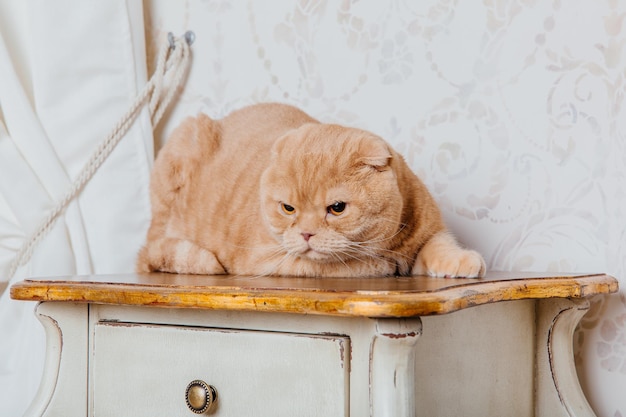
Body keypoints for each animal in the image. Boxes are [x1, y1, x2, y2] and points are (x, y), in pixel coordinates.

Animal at [136, 103, 486, 278]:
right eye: (288, 208)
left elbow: (441, 245)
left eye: (337, 208)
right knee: (151, 252)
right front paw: (385, 265)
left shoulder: (430, 230)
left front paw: (461, 261)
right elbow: (351, 265)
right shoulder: (270, 261)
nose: (306, 234)